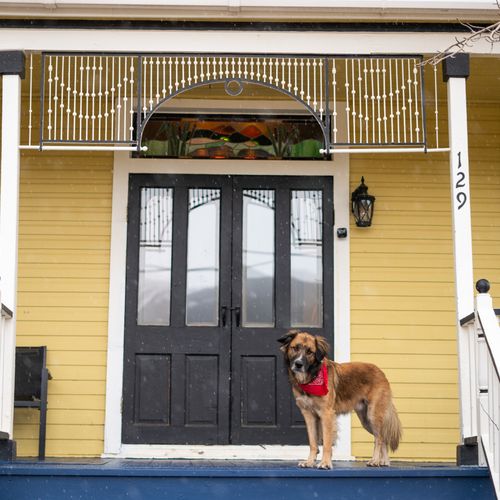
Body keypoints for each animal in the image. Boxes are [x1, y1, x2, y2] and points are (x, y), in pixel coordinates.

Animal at [278, 332, 402, 468]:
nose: (298, 364)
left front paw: (325, 463)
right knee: (382, 437)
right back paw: (384, 461)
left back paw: (375, 460)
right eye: (295, 348)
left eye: (310, 352)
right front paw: (310, 462)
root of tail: (381, 372)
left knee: (379, 438)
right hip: (366, 420)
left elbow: (327, 442)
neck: (312, 377)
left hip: (373, 415)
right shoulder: (309, 415)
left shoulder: (326, 414)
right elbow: (313, 442)